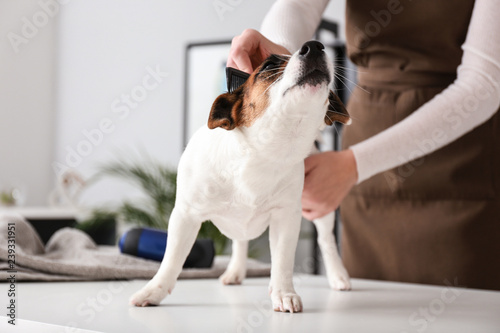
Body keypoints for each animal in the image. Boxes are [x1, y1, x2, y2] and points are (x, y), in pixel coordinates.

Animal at [131, 40, 354, 312]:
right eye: (268, 66)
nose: (314, 46)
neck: (262, 154)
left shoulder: (286, 218)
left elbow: (282, 261)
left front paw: (284, 293)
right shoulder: (185, 215)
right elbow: (171, 260)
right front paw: (153, 291)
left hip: (320, 213)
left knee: (326, 240)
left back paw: (338, 275)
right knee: (240, 242)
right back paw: (235, 271)